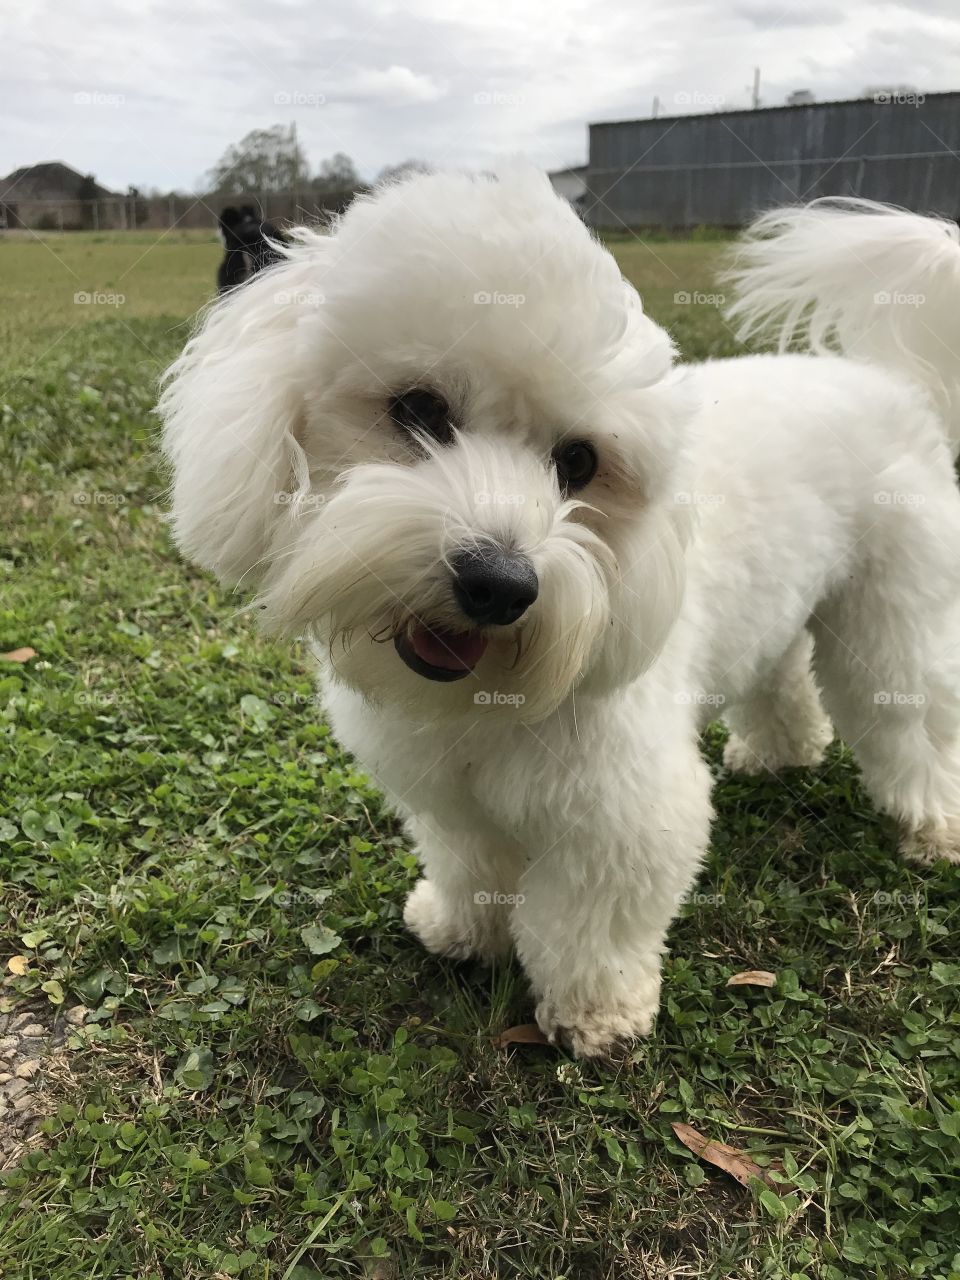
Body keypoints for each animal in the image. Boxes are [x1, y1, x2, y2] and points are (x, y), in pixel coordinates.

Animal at [160, 172, 960, 1059]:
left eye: (578, 461)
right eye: (419, 410)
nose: (499, 584)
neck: (482, 695)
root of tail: (892, 384)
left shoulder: (621, 814)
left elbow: (589, 921)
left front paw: (596, 1013)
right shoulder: (450, 801)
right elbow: (471, 865)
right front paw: (463, 929)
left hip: (895, 621)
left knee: (916, 717)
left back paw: (934, 826)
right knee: (783, 676)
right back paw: (779, 752)